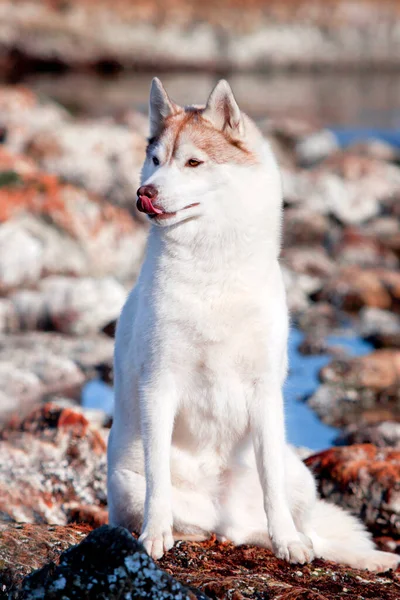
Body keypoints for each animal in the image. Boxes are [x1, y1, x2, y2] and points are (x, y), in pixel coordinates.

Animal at [108, 77, 398, 568]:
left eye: (193, 162)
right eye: (155, 160)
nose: (144, 193)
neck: (212, 273)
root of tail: (227, 518)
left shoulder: (264, 392)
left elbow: (270, 486)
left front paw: (287, 543)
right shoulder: (158, 385)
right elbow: (158, 478)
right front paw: (153, 536)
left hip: (300, 474)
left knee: (305, 530)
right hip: (129, 487)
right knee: (212, 525)